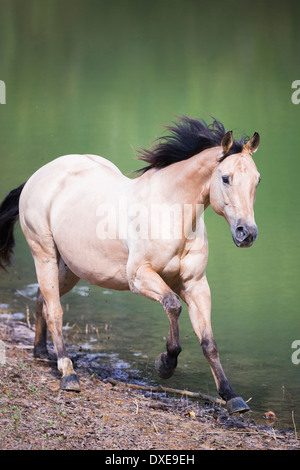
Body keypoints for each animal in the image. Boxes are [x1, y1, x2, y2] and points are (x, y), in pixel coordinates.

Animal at [0, 115, 260, 414]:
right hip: (43, 254)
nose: (247, 233)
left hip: (68, 268)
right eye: (226, 178)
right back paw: (68, 374)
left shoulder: (195, 285)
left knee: (43, 298)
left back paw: (41, 352)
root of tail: (37, 176)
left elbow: (208, 342)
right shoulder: (139, 276)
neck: (170, 211)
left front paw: (232, 397)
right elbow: (172, 305)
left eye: (257, 180)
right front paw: (165, 364)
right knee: (55, 311)